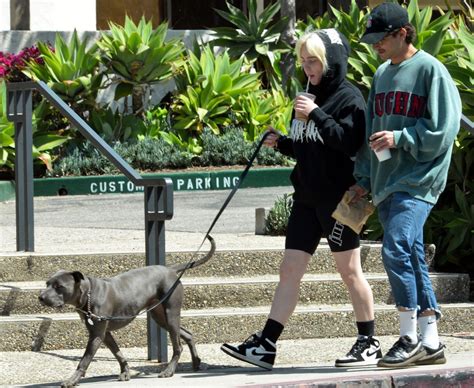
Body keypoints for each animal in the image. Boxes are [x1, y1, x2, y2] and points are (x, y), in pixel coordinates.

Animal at [39, 235, 217, 386]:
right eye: (47, 284)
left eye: (59, 286)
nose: (40, 297)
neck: (89, 294)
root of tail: (171, 270)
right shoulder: (104, 333)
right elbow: (118, 353)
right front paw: (125, 372)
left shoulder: (97, 334)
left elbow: (85, 359)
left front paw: (72, 380)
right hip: (160, 317)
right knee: (188, 334)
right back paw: (196, 362)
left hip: (171, 313)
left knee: (178, 346)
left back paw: (169, 371)